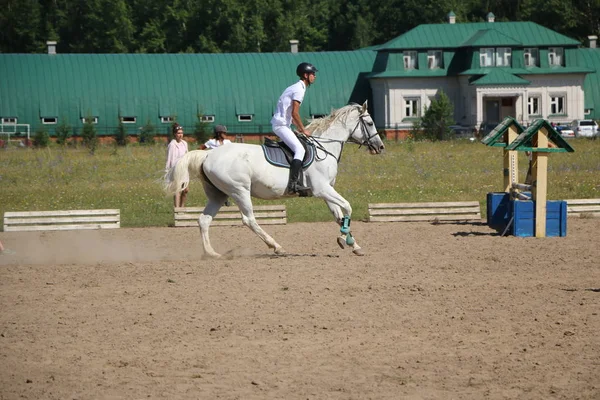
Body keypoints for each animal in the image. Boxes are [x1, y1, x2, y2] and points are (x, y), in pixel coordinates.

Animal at [164, 100, 384, 256]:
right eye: (370, 123)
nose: (380, 147)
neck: (324, 147)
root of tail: (208, 154)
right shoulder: (322, 189)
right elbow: (347, 207)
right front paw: (345, 238)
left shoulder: (325, 191)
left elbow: (339, 215)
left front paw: (353, 244)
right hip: (239, 191)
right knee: (249, 219)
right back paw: (276, 246)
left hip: (218, 194)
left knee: (204, 220)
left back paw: (212, 253)